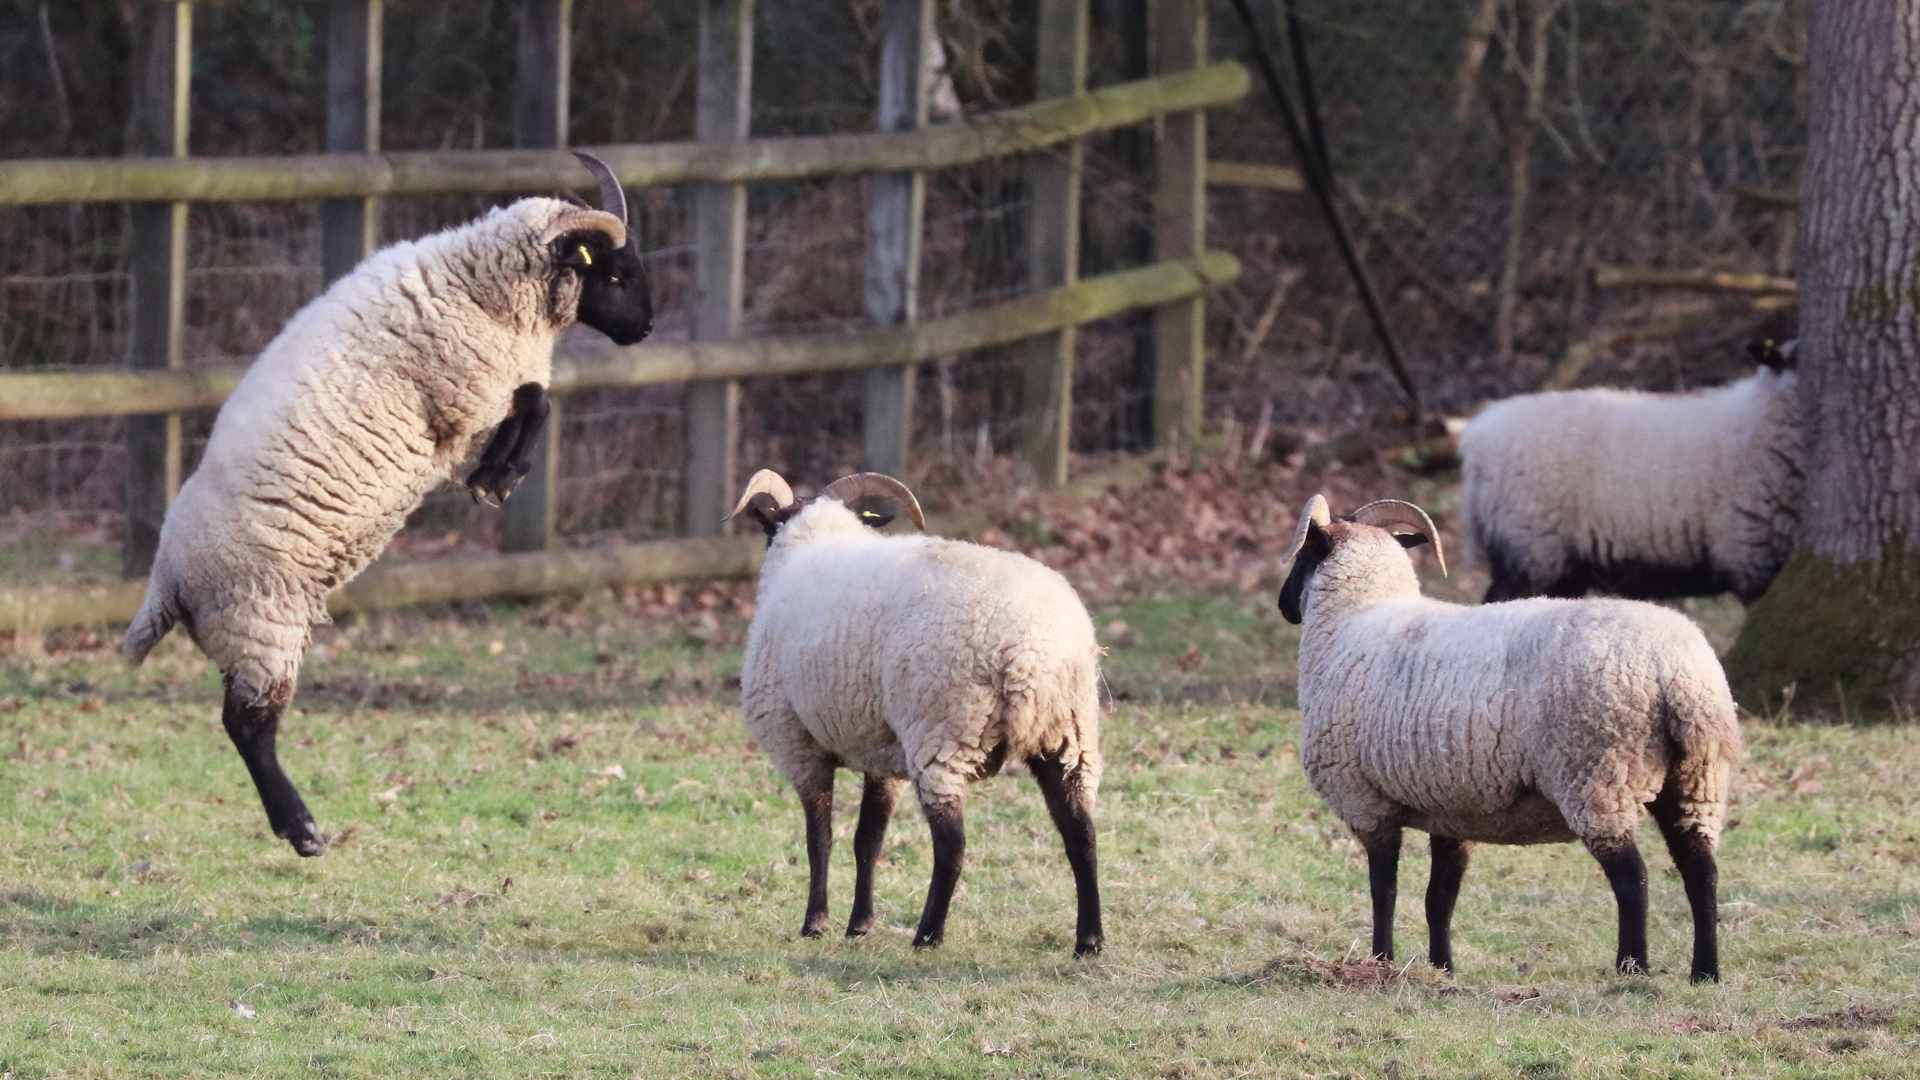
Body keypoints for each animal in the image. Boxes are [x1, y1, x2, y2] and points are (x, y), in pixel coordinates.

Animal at [118, 152, 653, 857]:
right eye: (615, 274)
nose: (646, 329)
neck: (480, 281)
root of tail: (165, 581)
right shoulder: (463, 401)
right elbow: (536, 399)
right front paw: (499, 476)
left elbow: (537, 396)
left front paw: (499, 474)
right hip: (260, 619)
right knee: (247, 726)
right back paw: (303, 830)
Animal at [730, 469, 1105, 957]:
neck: (812, 541)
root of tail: (1031, 648)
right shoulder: (880, 751)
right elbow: (867, 841)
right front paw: (860, 925)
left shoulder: (798, 746)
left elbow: (820, 840)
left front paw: (815, 923)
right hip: (1067, 735)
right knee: (1081, 833)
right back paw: (1089, 940)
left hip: (943, 731)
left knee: (952, 845)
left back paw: (927, 935)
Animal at [1278, 495, 1742, 982]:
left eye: (1304, 554)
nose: (1283, 605)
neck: (1356, 617)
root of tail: (1678, 671)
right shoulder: (1449, 809)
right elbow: (1439, 898)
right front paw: (1442, 970)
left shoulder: (1366, 802)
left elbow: (1383, 892)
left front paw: (1381, 961)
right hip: (1695, 779)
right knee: (1701, 870)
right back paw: (1705, 972)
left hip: (1596, 775)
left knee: (1634, 879)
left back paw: (1631, 969)